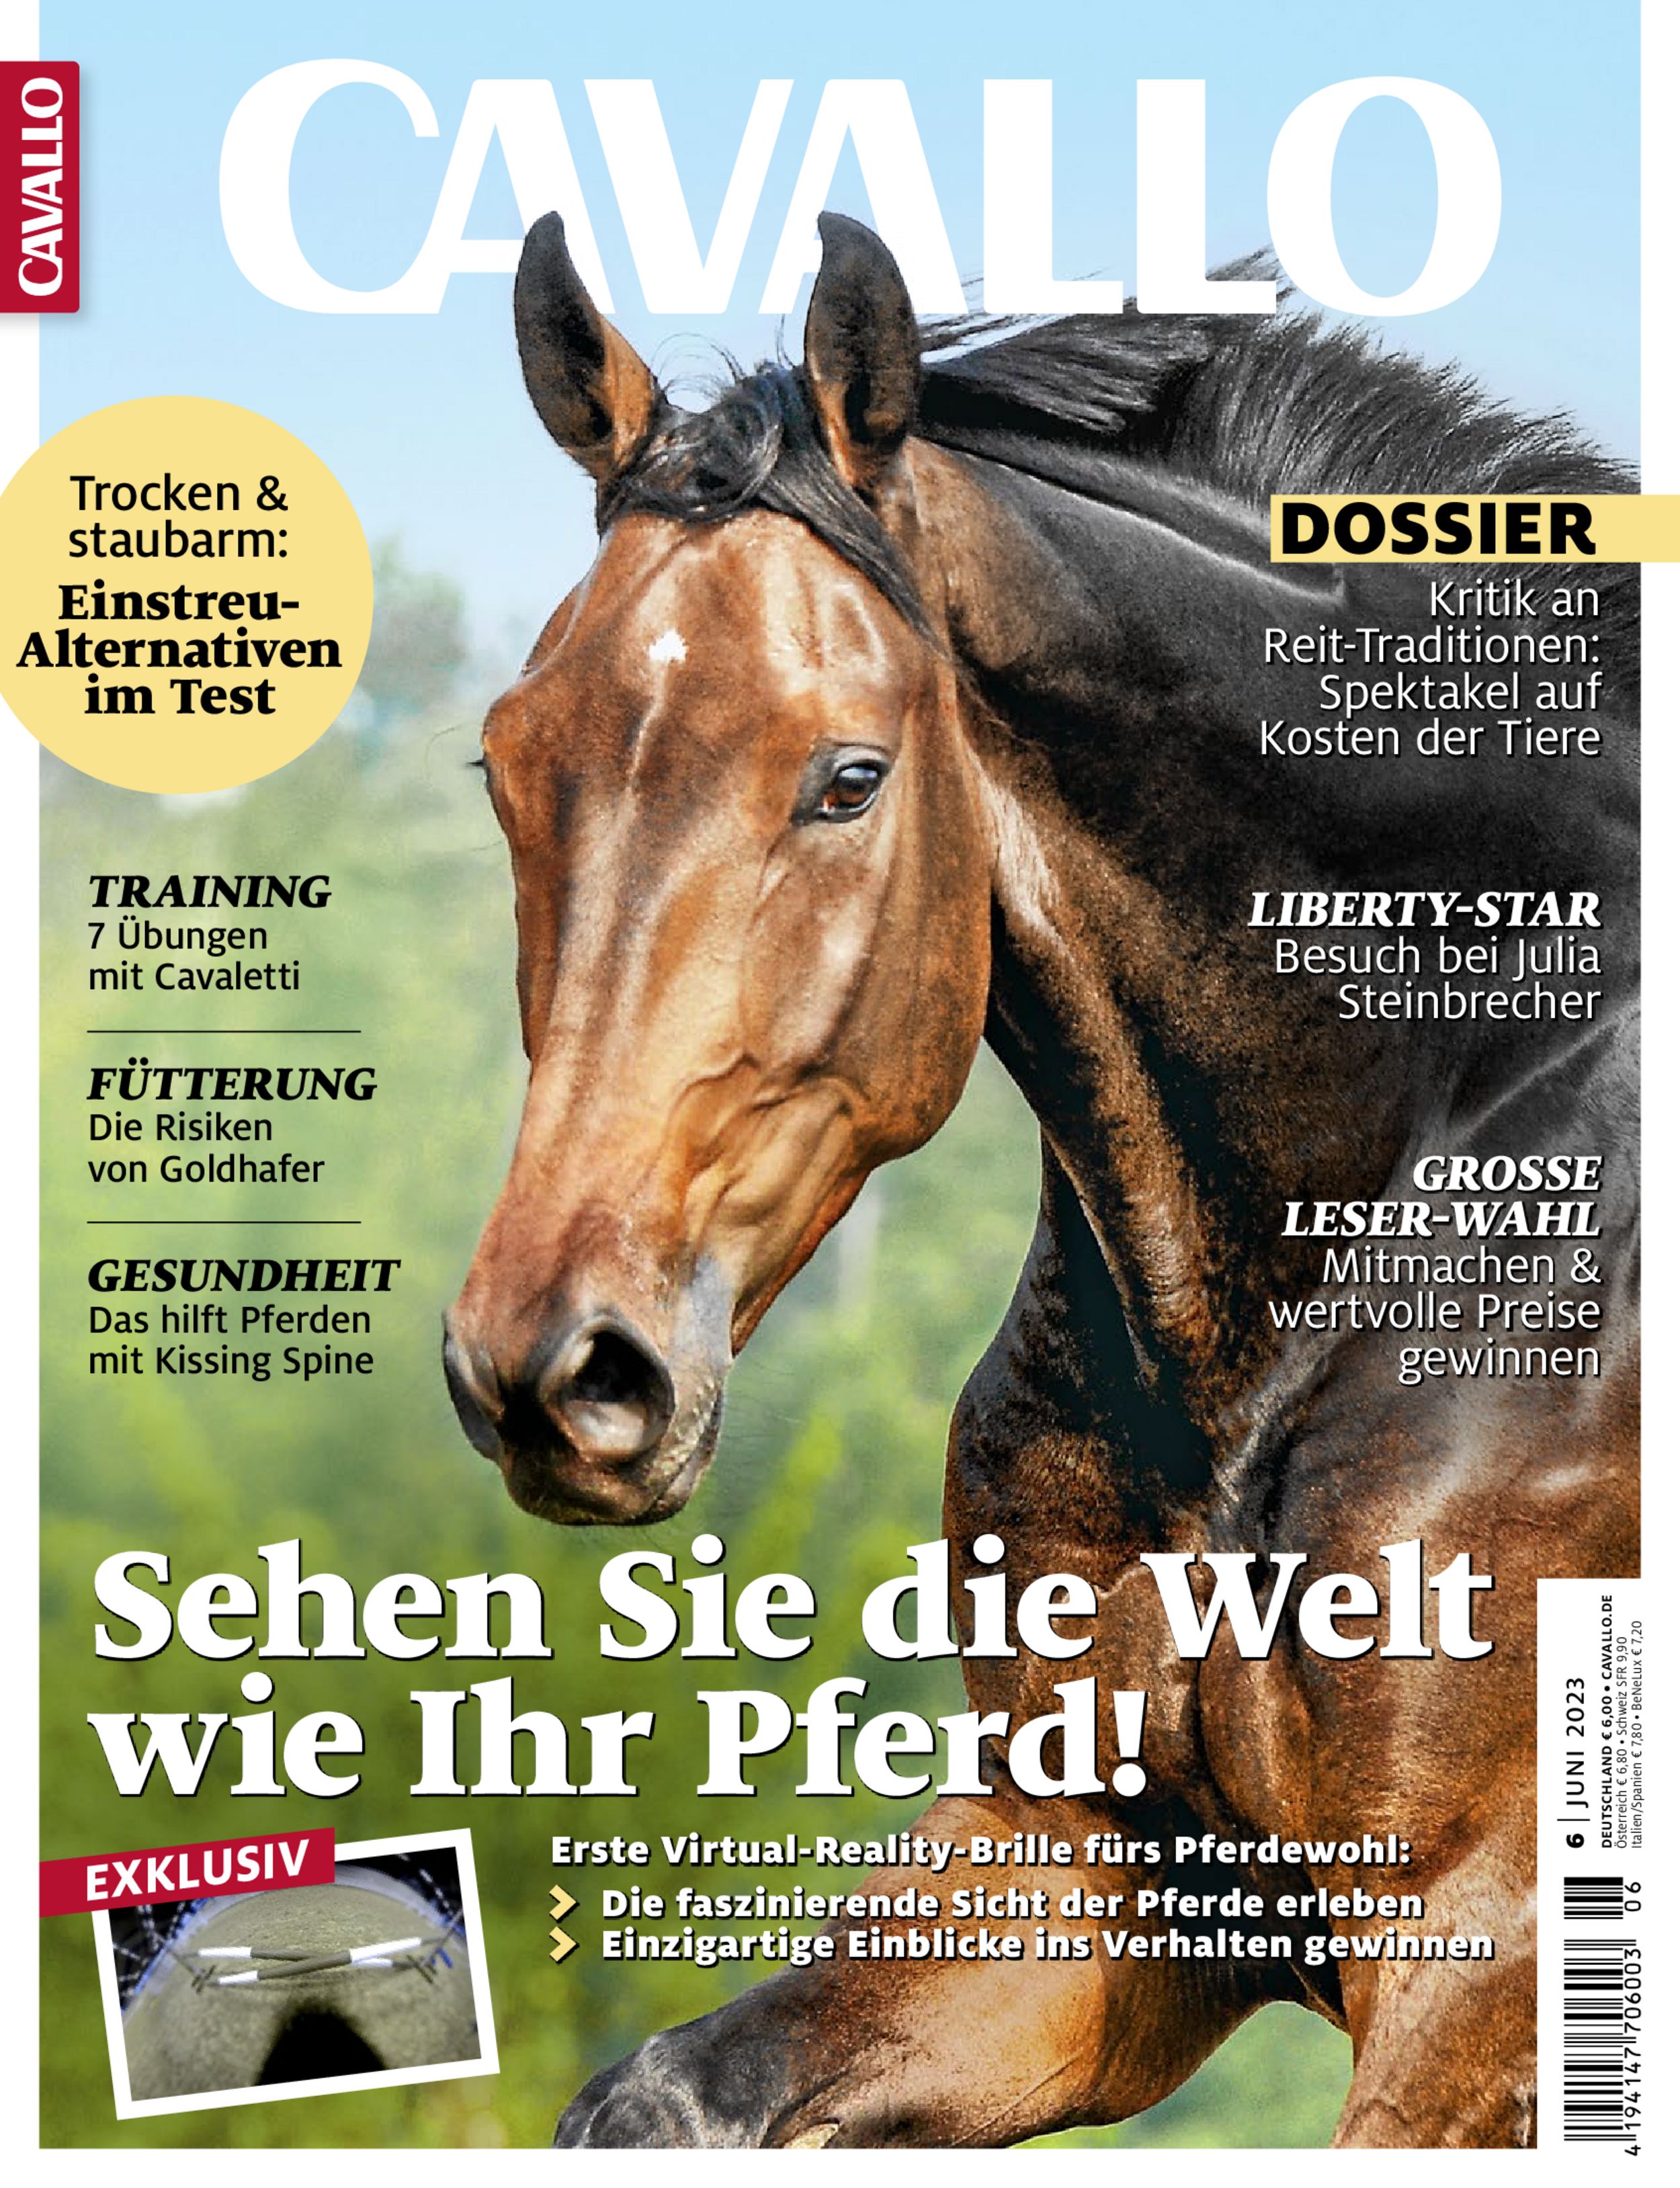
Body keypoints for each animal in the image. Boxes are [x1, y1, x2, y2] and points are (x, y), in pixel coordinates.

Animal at [444, 211, 1638, 2148]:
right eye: (506, 762)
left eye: (848, 777)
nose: (556, 1372)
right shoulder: (1088, 1871)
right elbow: (657, 2100)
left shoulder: (1491, 1949)